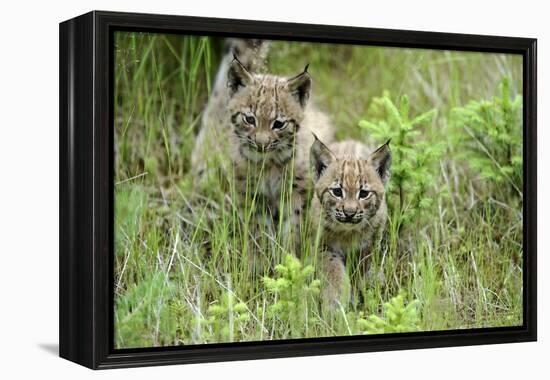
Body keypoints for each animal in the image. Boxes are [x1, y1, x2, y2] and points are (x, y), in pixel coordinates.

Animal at [310, 138, 392, 304]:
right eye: (337, 192)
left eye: (364, 194)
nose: (349, 213)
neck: (347, 232)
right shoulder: (323, 245)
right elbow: (332, 269)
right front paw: (336, 298)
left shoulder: (370, 244)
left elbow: (363, 267)